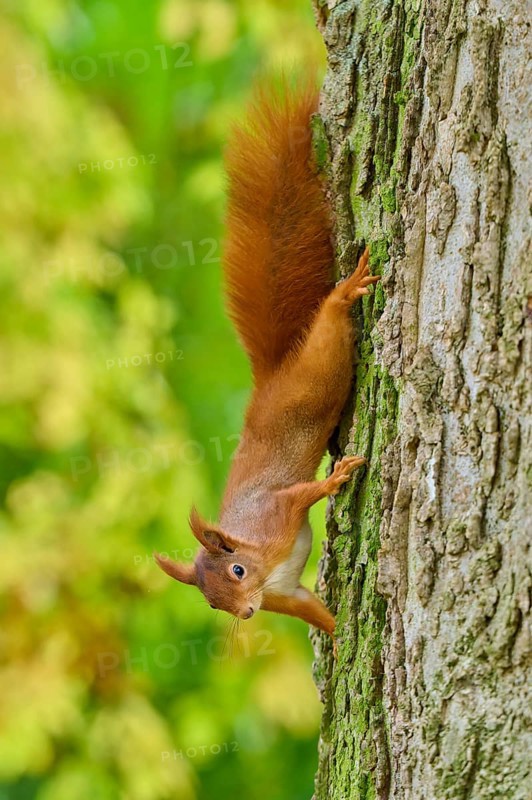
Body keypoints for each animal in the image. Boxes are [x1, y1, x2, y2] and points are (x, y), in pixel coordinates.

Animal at [155, 78, 380, 647]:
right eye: (212, 603)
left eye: (237, 570)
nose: (249, 613)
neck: (261, 562)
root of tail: (271, 376)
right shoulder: (288, 594)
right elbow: (315, 611)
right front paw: (340, 636)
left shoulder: (277, 513)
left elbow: (305, 494)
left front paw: (335, 479)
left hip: (318, 372)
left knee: (328, 330)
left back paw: (344, 293)